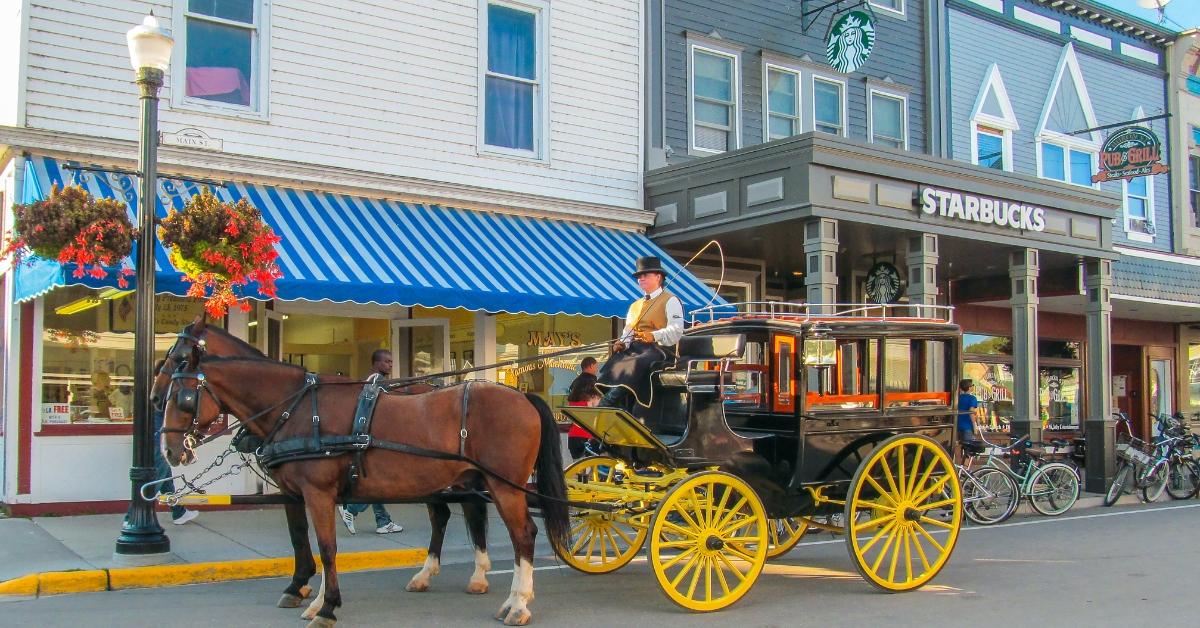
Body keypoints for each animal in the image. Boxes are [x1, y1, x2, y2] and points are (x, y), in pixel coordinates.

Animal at [162, 350, 568, 624]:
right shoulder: (305, 494)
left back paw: (518, 604)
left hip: (505, 486)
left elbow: (326, 548)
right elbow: (314, 545)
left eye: (182, 397)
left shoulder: (318, 493)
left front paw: (326, 607)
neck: (297, 411)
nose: (169, 450)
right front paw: (313, 599)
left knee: (523, 535)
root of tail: (522, 396)